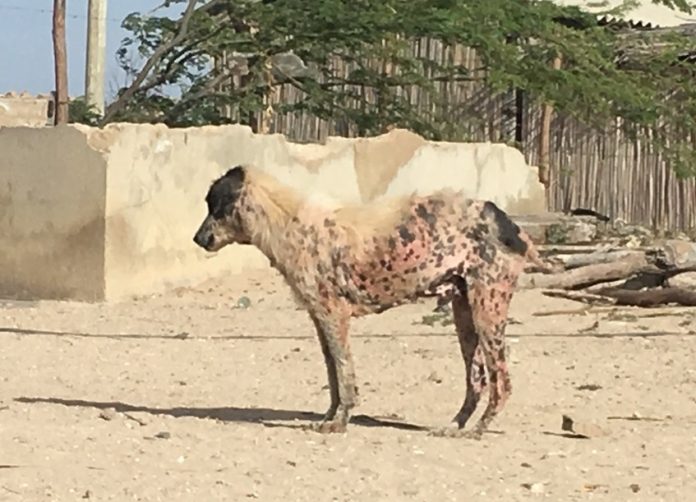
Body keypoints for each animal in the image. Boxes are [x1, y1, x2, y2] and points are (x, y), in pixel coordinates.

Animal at [193, 166, 552, 440]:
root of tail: (505, 220)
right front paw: (329, 417)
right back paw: (454, 426)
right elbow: (334, 378)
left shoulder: (334, 317)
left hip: (487, 312)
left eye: (215, 205)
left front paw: (339, 422)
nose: (197, 239)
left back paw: (477, 430)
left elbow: (345, 376)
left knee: (502, 384)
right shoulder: (321, 320)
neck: (289, 222)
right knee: (476, 382)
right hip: (465, 317)